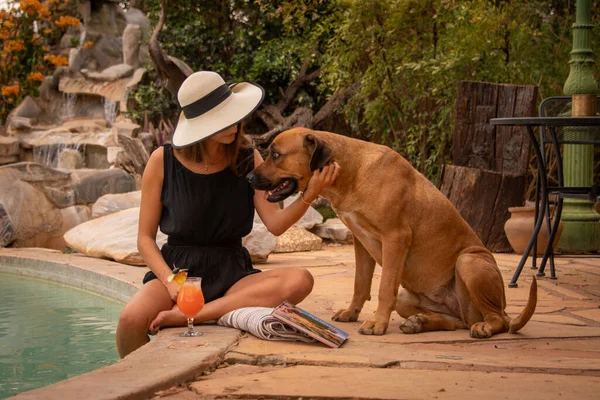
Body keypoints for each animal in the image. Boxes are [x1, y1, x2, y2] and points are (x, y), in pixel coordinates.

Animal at [246, 128, 536, 338]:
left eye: (275, 154)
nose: (248, 177)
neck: (351, 173)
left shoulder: (395, 239)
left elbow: (384, 288)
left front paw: (377, 324)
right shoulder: (360, 242)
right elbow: (360, 284)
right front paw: (352, 313)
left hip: (469, 261)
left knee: (498, 318)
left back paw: (484, 327)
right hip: (408, 299)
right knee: (456, 322)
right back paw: (420, 322)